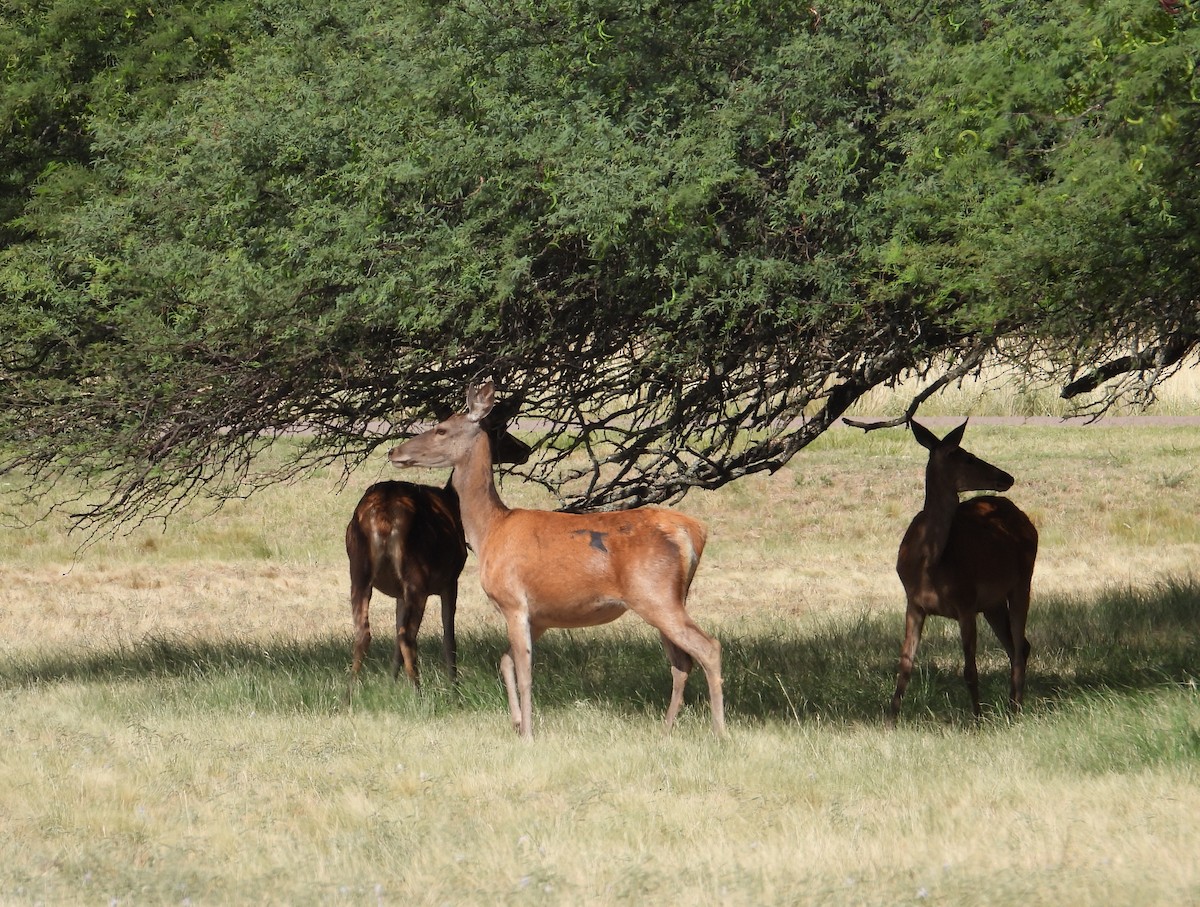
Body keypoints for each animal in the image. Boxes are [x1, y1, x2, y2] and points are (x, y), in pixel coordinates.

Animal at [344, 401, 530, 694]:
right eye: (500, 428)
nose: (525, 449)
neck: (453, 502)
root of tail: (383, 511)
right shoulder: (450, 578)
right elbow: (448, 637)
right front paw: (454, 685)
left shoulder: (398, 591)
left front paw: (391, 682)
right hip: (416, 573)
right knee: (407, 635)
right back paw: (418, 693)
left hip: (358, 567)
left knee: (365, 632)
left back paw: (349, 692)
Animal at [387, 379, 725, 740]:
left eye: (441, 429)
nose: (395, 452)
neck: (490, 530)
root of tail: (694, 531)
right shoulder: (540, 617)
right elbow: (506, 661)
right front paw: (517, 723)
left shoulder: (513, 601)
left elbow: (525, 672)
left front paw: (528, 734)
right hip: (668, 598)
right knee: (681, 661)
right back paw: (666, 728)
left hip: (654, 594)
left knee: (708, 648)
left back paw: (719, 731)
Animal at [890, 419, 1038, 724]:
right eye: (967, 457)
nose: (1007, 476)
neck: (931, 563)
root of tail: (1024, 518)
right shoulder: (914, 603)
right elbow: (905, 664)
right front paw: (890, 719)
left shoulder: (966, 602)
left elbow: (970, 670)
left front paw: (977, 720)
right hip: (993, 603)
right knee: (1018, 645)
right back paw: (1012, 705)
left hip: (1023, 581)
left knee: (1020, 646)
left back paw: (1015, 710)